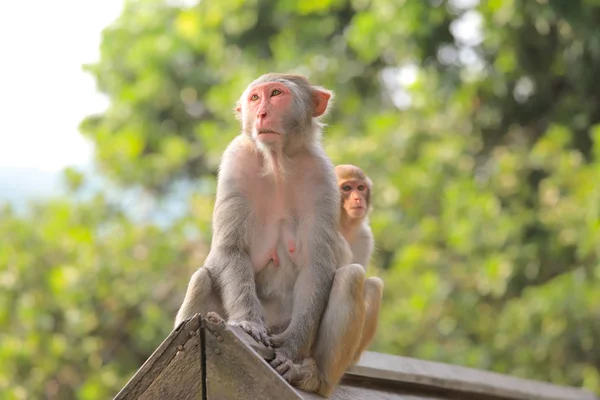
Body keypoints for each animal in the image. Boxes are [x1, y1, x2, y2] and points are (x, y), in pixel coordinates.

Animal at [173, 72, 370, 396]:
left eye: (276, 94)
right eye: (255, 98)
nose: (261, 113)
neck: (277, 162)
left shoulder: (322, 176)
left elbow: (316, 264)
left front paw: (290, 349)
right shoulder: (235, 161)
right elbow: (230, 249)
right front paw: (249, 322)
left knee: (350, 277)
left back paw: (312, 378)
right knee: (202, 277)